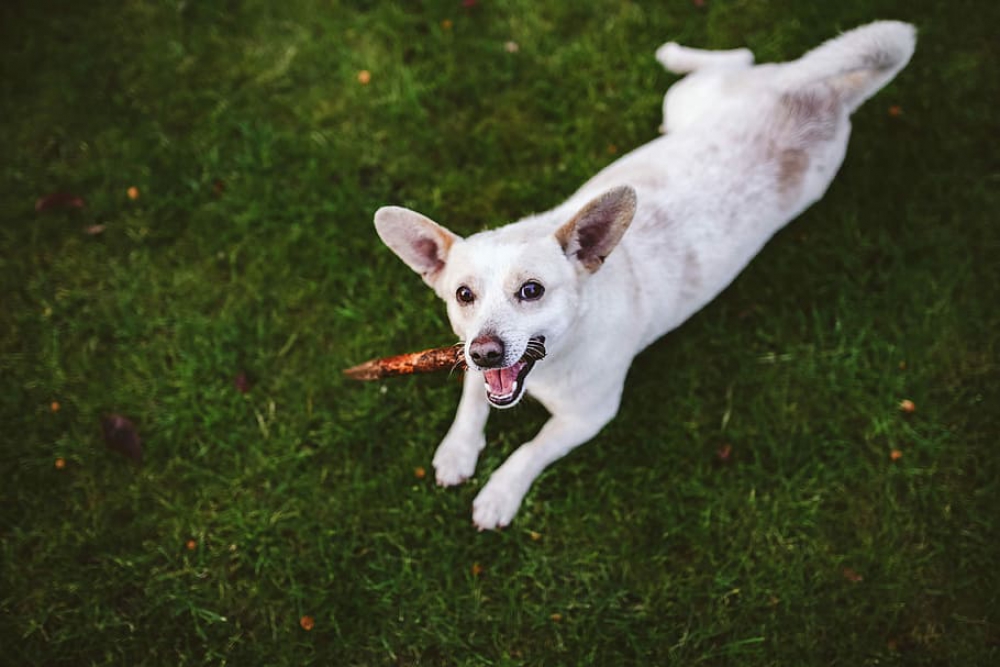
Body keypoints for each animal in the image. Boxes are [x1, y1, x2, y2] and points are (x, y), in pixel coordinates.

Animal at [374, 20, 916, 528]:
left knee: (738, 55)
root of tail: (824, 94)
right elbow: (472, 398)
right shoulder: (471, 360)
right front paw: (458, 450)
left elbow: (532, 448)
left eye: (532, 290)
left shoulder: (589, 417)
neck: (555, 360)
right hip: (688, 107)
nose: (486, 351)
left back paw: (674, 52)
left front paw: (500, 493)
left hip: (696, 104)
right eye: (463, 294)